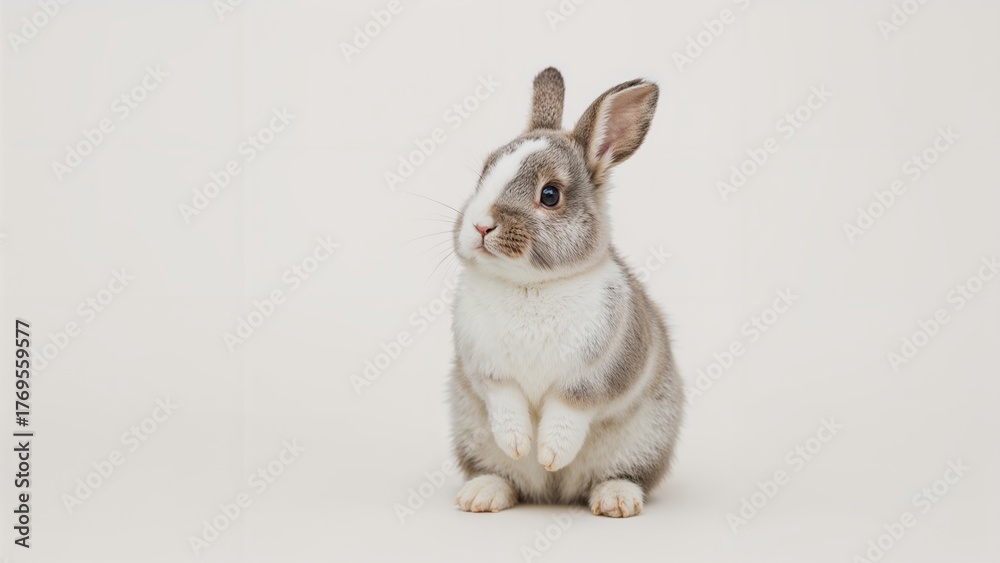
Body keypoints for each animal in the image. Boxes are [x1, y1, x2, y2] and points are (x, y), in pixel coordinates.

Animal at [448, 67, 684, 518]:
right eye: (485, 171)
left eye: (550, 194)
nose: (480, 226)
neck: (530, 287)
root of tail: (555, 494)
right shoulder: (486, 371)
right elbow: (506, 405)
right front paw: (520, 444)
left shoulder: (597, 375)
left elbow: (568, 412)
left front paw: (550, 454)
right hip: (472, 435)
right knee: (504, 476)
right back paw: (482, 495)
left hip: (646, 441)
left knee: (623, 476)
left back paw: (615, 500)